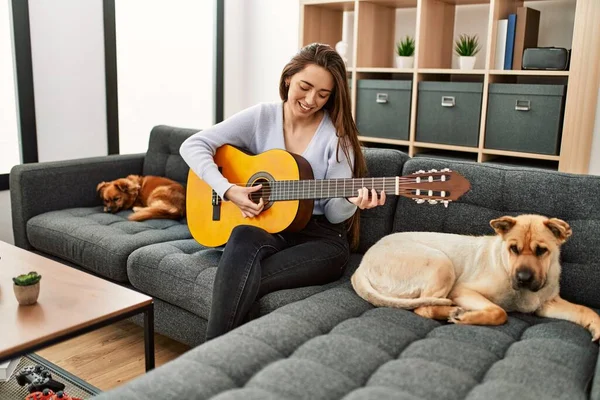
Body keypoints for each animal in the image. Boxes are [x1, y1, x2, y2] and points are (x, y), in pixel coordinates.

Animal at [350, 214, 600, 342]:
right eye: (513, 249)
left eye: (542, 251)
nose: (523, 277)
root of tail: (361, 264)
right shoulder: (462, 291)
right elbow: (499, 312)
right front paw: (468, 318)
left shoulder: (547, 304)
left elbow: (585, 310)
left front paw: (595, 325)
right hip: (441, 263)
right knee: (423, 307)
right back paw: (453, 312)